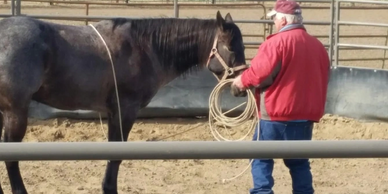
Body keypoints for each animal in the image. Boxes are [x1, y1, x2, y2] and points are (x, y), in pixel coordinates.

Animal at [0, 11, 249, 194]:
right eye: (231, 47)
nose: (240, 87)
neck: (145, 48)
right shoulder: (125, 110)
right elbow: (116, 155)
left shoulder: (113, 112)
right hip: (15, 112)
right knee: (11, 157)